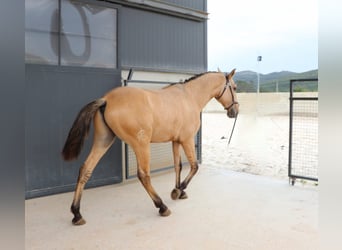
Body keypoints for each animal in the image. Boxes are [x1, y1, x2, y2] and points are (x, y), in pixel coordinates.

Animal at [62, 68, 238, 225]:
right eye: (235, 87)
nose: (235, 111)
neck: (189, 97)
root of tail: (106, 100)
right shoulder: (187, 140)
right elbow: (194, 166)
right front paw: (178, 190)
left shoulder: (175, 141)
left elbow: (178, 166)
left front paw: (179, 191)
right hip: (141, 144)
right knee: (144, 175)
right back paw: (162, 206)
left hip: (103, 141)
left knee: (86, 169)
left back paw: (77, 214)